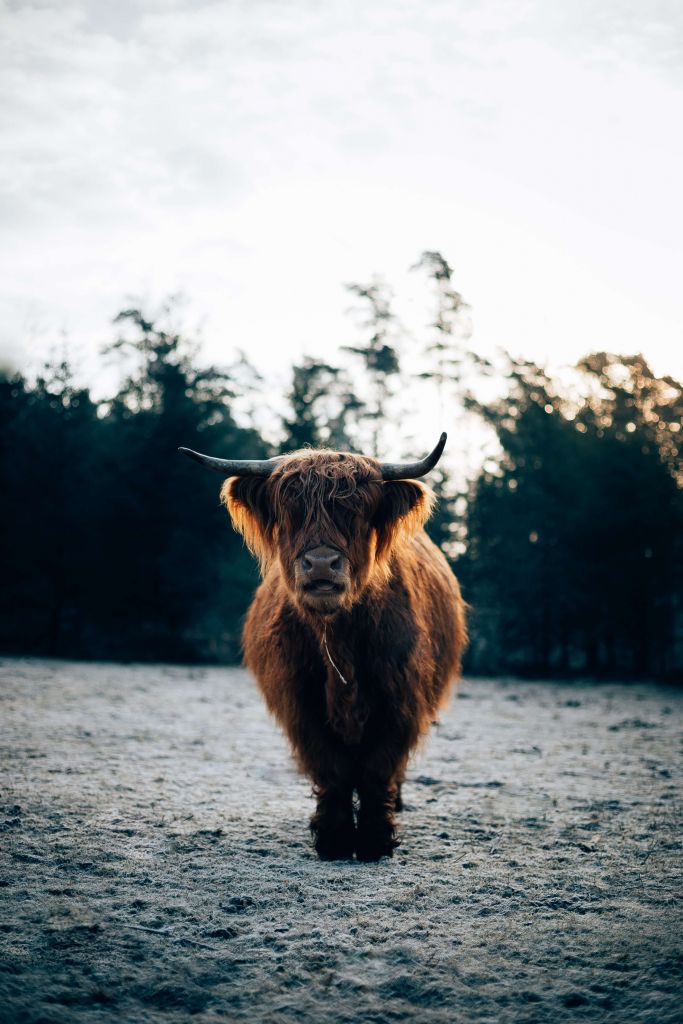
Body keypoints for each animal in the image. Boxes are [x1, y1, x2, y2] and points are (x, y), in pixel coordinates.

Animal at [180, 436, 471, 860]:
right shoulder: (301, 705)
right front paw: (334, 839)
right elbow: (332, 769)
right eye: (291, 512)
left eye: (357, 513)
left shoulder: (400, 701)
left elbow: (377, 770)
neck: (338, 646)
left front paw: (374, 841)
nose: (320, 564)